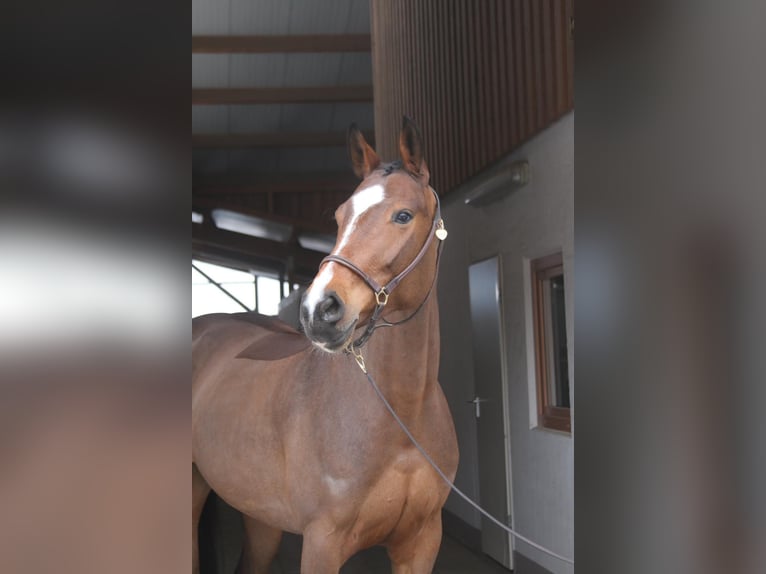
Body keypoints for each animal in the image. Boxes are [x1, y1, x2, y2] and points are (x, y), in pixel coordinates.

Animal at [192, 117, 459, 574]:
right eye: (339, 216)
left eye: (403, 215)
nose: (319, 308)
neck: (402, 417)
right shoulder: (323, 543)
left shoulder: (422, 541)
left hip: (259, 515)